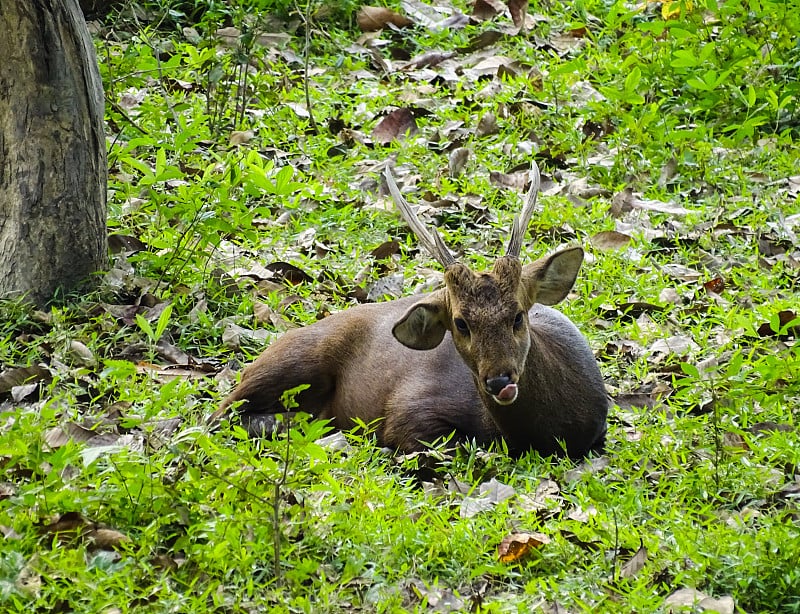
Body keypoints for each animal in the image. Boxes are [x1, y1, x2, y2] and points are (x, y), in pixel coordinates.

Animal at [212, 161, 608, 460]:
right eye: (460, 323)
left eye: (518, 316)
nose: (500, 380)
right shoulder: (410, 407)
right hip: (294, 360)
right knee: (217, 414)